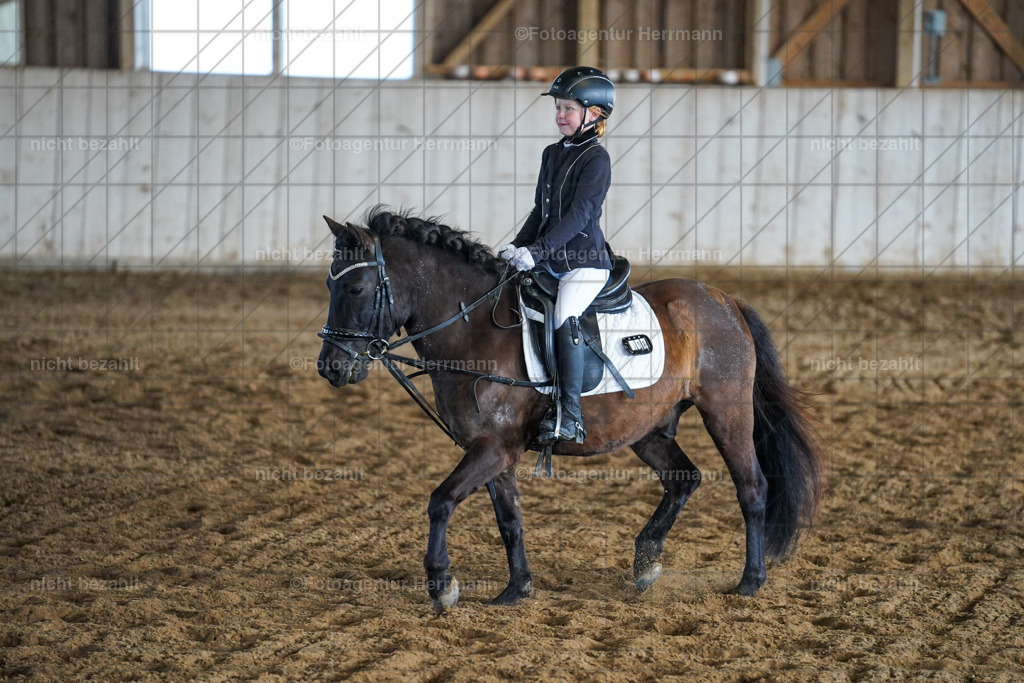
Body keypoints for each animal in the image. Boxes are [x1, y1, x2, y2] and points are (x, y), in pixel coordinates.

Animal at [317, 207, 824, 612]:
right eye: (328, 285)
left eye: (357, 287)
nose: (330, 367)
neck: (474, 331)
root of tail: (724, 299)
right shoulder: (495, 451)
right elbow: (509, 520)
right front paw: (516, 590)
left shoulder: (493, 448)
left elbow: (440, 501)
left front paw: (442, 585)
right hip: (647, 430)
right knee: (684, 478)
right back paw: (646, 563)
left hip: (726, 411)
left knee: (752, 487)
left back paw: (750, 582)